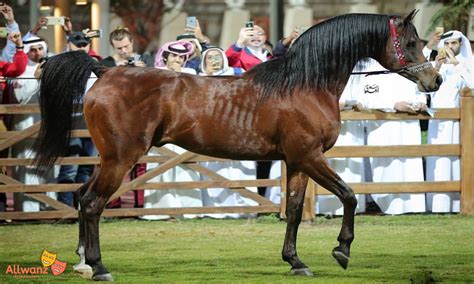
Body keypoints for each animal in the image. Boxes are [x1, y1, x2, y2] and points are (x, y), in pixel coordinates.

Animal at [33, 10, 440, 280]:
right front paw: (341, 250)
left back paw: (82, 262)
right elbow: (350, 196)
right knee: (92, 203)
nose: (434, 80)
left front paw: (295, 262)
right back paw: (99, 266)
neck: (303, 84)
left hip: (108, 158)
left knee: (83, 197)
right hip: (120, 158)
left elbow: (294, 211)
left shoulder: (296, 161)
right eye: (410, 43)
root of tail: (104, 70)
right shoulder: (310, 157)